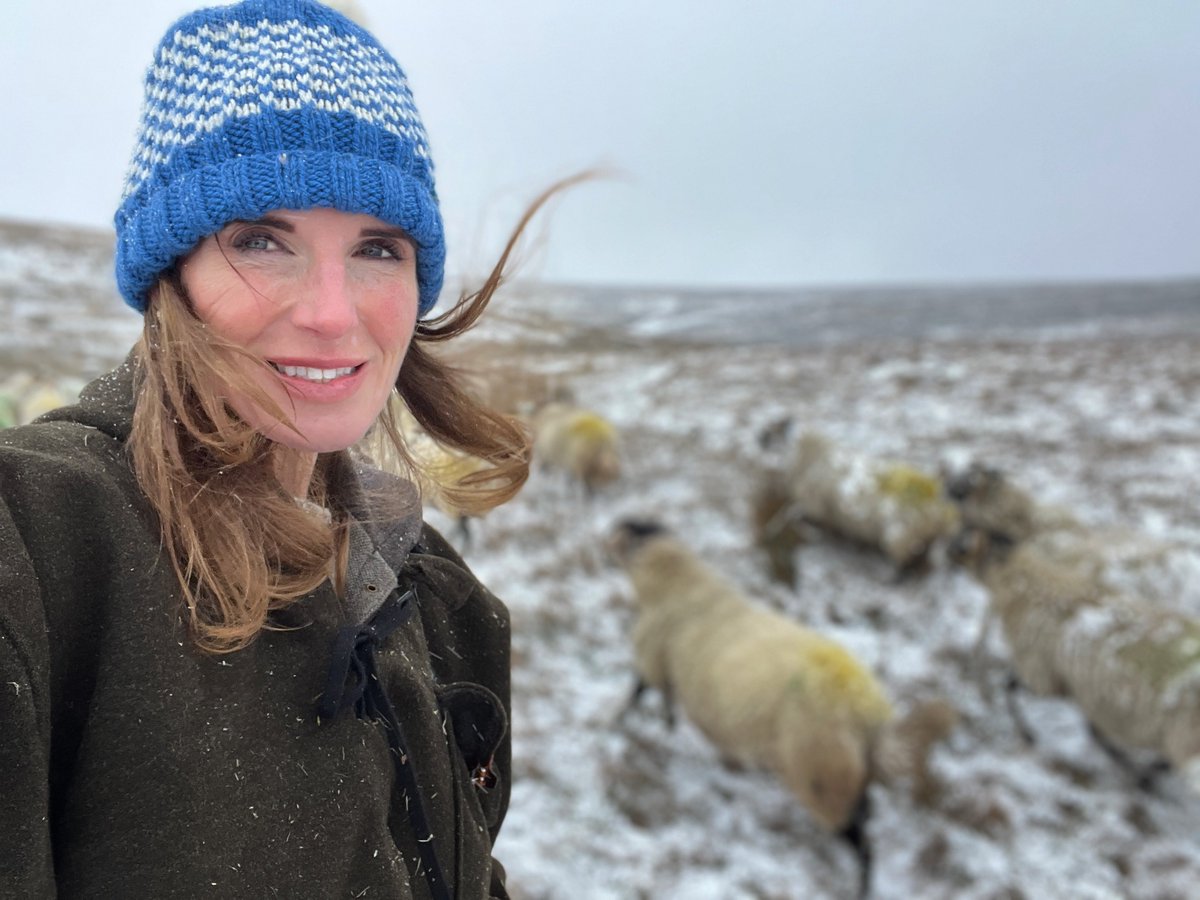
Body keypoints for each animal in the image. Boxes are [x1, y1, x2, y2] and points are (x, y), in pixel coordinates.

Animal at [609, 518, 955, 897]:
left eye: (632, 531)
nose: (610, 534)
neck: (681, 587)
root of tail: (866, 714)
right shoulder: (667, 669)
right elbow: (664, 701)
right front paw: (665, 727)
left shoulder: (654, 660)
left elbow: (638, 692)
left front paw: (617, 722)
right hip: (849, 777)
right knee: (864, 818)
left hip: (821, 776)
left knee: (861, 844)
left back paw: (859, 888)